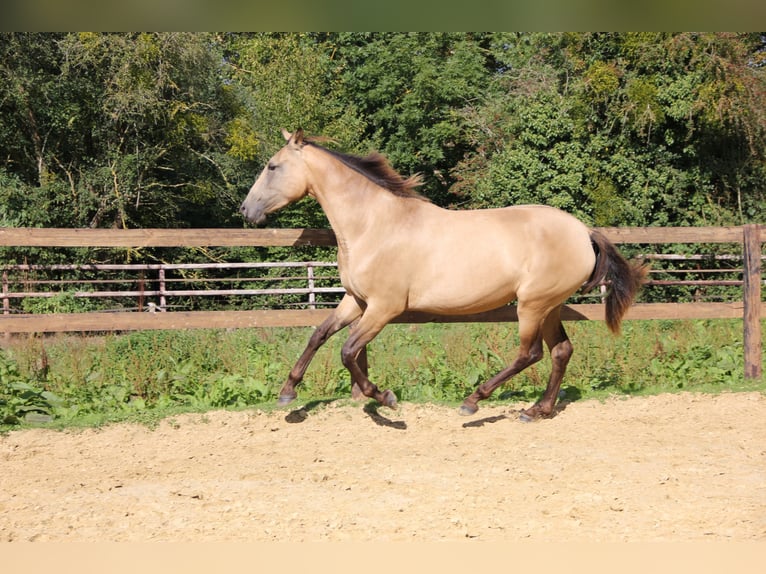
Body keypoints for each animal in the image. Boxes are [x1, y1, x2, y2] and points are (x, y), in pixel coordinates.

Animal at [240, 128, 648, 420]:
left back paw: (474, 401)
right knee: (561, 350)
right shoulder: (357, 301)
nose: (246, 210)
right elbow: (319, 335)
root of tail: (584, 232)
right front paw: (287, 392)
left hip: (532, 304)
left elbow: (348, 351)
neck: (373, 225)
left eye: (272, 167)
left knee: (529, 353)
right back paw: (537, 411)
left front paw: (385, 398)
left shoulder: (385, 308)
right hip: (550, 305)